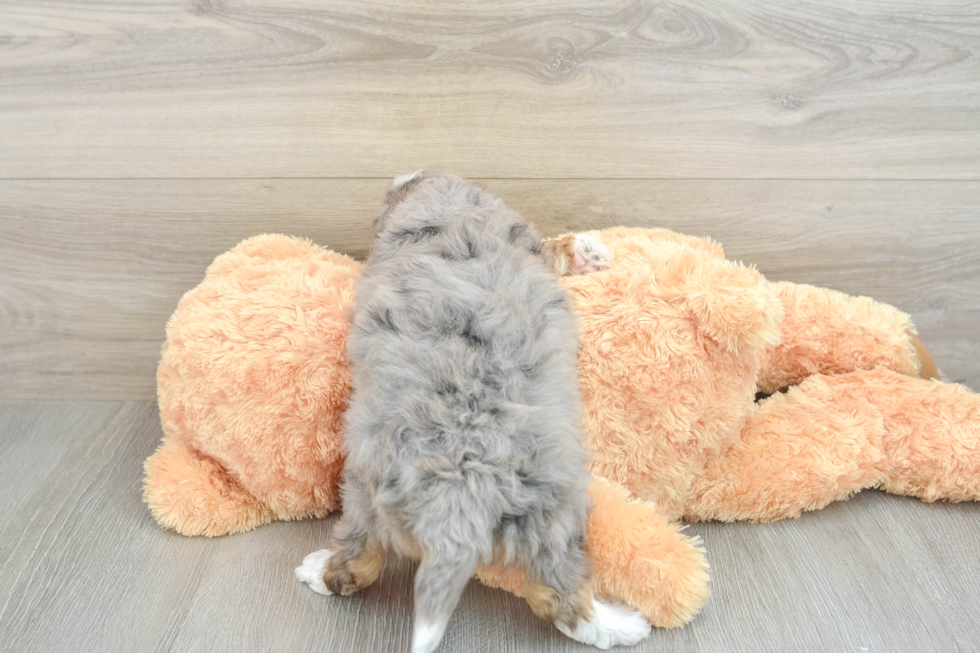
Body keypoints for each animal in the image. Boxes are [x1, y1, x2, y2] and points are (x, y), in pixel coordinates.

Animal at [294, 171, 648, 648]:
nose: (399, 178)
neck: (453, 206)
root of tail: (463, 491)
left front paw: (590, 251)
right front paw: (591, 252)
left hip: (365, 493)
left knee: (357, 564)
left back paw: (316, 570)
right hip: (557, 511)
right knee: (560, 598)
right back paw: (624, 626)